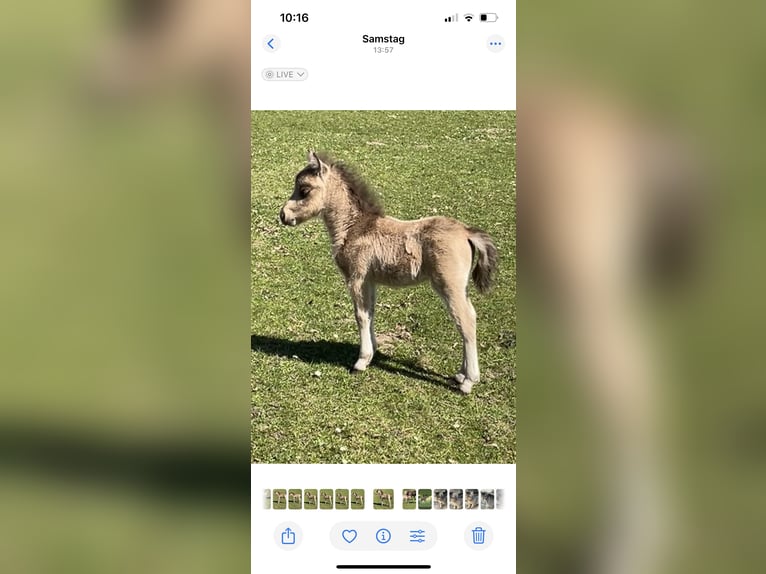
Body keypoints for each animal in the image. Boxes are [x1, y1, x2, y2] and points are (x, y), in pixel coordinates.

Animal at [279, 152, 498, 393]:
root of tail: (467, 232)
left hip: (449, 284)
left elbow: (360, 315)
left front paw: (361, 361)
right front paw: (372, 352)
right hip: (459, 286)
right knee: (469, 317)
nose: (283, 215)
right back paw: (460, 374)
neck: (355, 227)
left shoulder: (357, 278)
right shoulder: (370, 280)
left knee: (465, 320)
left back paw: (468, 381)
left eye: (304, 189)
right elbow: (370, 312)